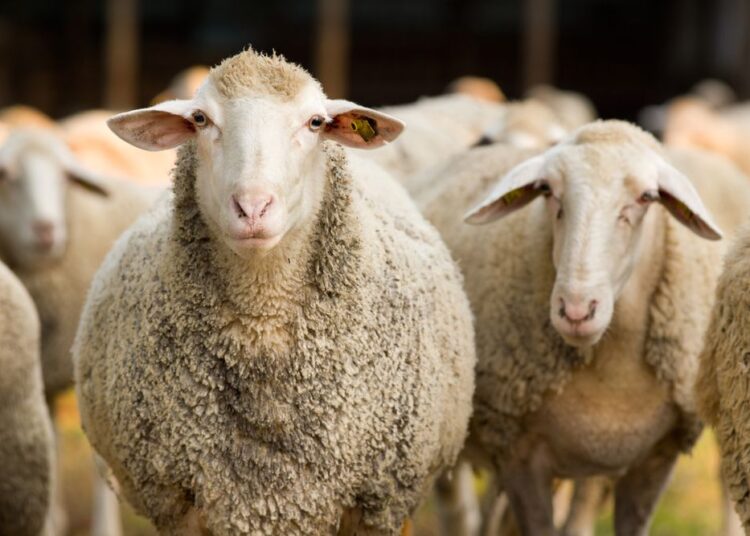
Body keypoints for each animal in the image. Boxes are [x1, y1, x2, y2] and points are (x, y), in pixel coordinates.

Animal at [0, 127, 159, 536]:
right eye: (8, 176)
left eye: (64, 178)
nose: (46, 230)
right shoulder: (42, 379)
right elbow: (53, 446)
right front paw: (52, 523)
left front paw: (104, 528)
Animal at [73, 48, 476, 535]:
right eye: (201, 119)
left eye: (315, 122)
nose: (252, 207)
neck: (262, 320)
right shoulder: (178, 499)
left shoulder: (376, 503)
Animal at [421, 120, 750, 535]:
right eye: (547, 191)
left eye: (647, 197)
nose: (576, 310)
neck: (613, 376)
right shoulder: (518, 454)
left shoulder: (653, 460)